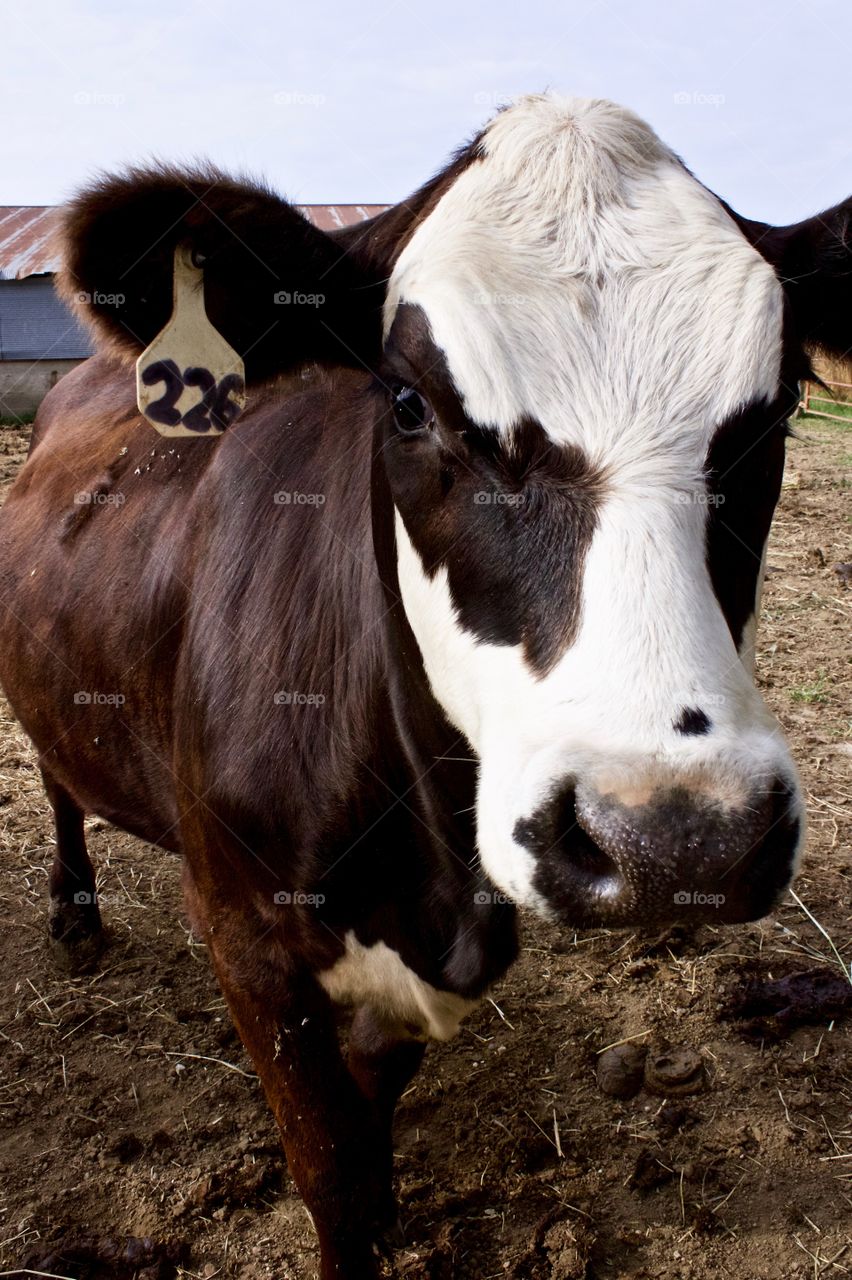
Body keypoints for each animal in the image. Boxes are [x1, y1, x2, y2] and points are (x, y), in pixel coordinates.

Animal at [0, 94, 844, 1274]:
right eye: (406, 403)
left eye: (777, 410)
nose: (680, 839)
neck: (431, 872)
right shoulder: (245, 936)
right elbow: (333, 1173)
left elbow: (375, 1110)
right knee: (58, 780)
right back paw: (75, 912)